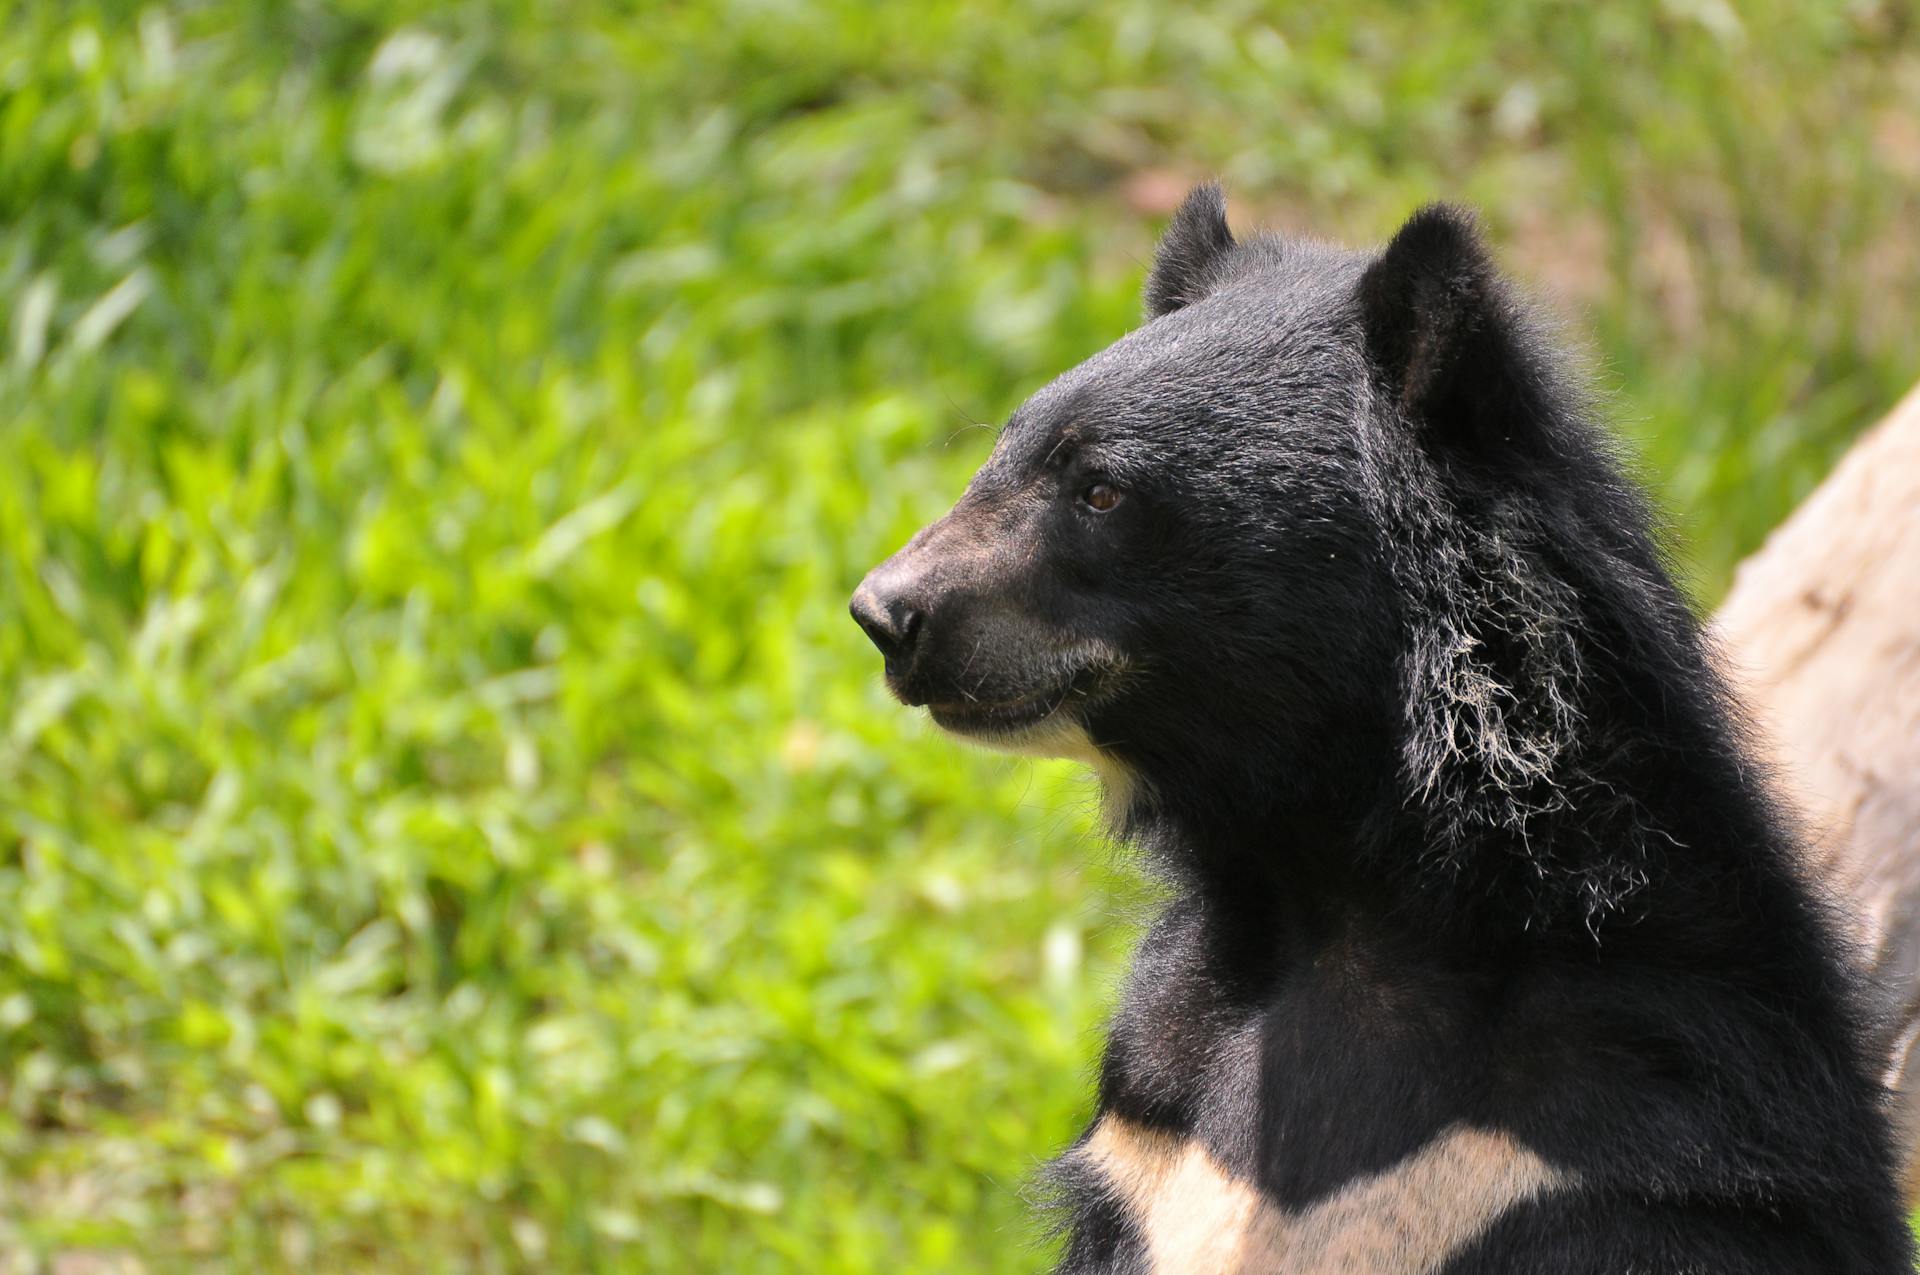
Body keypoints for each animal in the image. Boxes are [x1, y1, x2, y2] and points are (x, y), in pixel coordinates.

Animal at [860, 189, 1920, 1275]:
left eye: (1101, 491)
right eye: (1002, 451)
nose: (887, 612)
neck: (1334, 892)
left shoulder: (1621, 1152)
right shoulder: (1144, 1130)